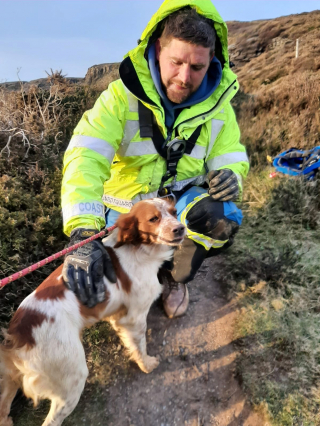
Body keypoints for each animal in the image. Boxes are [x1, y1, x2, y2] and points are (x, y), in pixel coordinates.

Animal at [0, 199, 185, 426]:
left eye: (173, 212)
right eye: (153, 219)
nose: (180, 228)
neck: (138, 248)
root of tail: (17, 335)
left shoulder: (118, 316)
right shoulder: (135, 317)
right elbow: (140, 346)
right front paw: (147, 365)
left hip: (10, 379)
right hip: (72, 378)